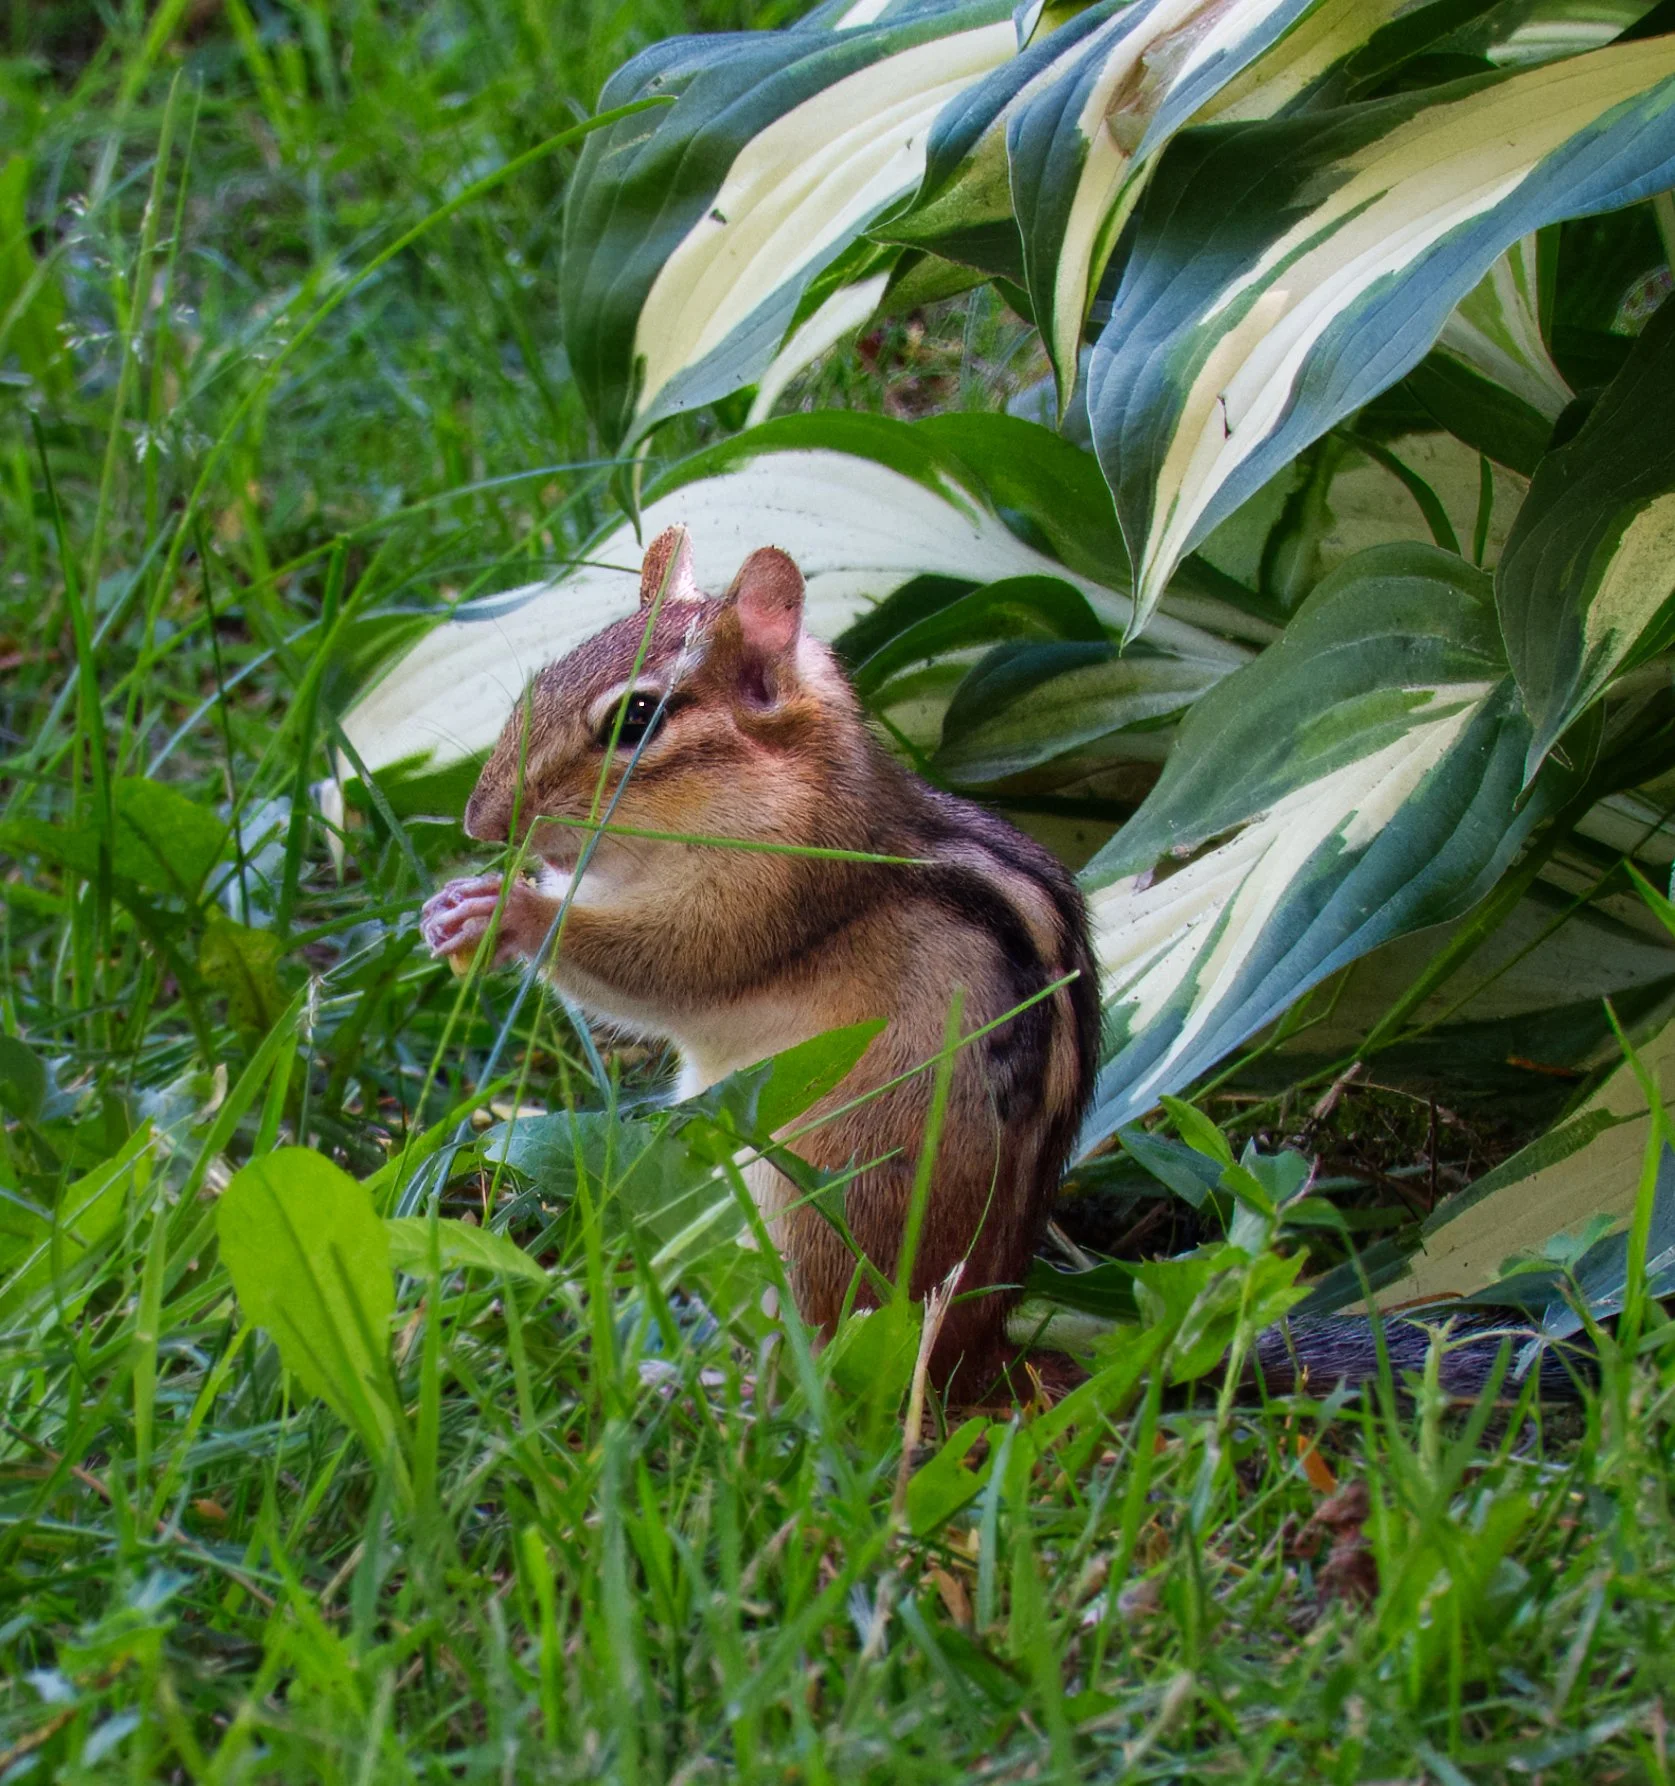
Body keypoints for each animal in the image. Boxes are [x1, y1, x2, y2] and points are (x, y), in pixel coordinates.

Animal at [419, 526, 1589, 1406]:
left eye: (636, 718)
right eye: (537, 679)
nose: (481, 821)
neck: (800, 796)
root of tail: (983, 1357)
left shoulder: (772, 901)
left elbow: (667, 968)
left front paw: (512, 911)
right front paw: (452, 904)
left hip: (811, 1195)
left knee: (827, 1362)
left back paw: (708, 1384)